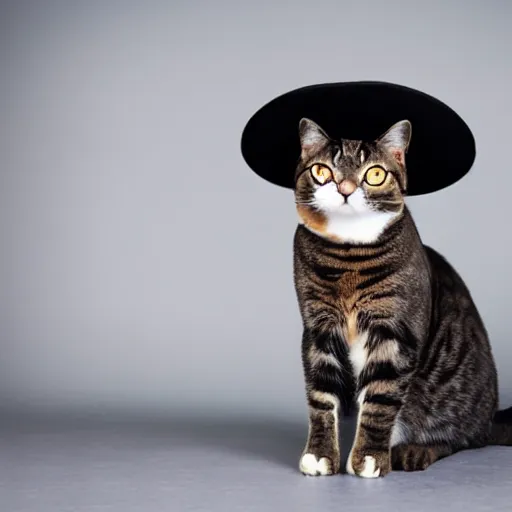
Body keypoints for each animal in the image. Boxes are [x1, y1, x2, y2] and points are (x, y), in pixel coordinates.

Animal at [292, 116, 512, 476]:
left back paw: (414, 451)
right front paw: (320, 455)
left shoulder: (395, 334)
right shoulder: (318, 328)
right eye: (322, 171)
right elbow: (321, 395)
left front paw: (369, 458)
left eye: (374, 174)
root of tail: (491, 417)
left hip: (446, 393)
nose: (345, 189)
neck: (349, 257)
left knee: (462, 438)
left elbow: (381, 399)